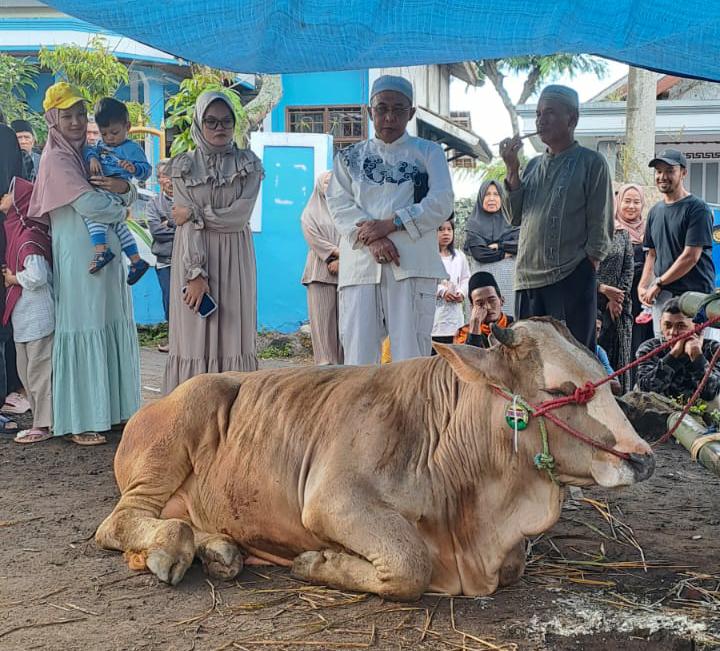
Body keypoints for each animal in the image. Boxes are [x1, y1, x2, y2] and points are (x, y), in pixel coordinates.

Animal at [95, 318, 652, 600]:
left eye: (603, 372)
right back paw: (172, 547)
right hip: (176, 436)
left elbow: (514, 565)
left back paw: (218, 550)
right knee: (118, 522)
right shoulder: (332, 502)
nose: (642, 458)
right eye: (560, 389)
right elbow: (410, 565)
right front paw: (317, 562)